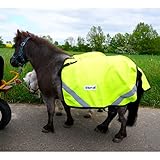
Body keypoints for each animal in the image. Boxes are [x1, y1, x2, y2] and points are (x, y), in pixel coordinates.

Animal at [10, 30, 150, 142]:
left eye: (16, 45)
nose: (12, 61)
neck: (49, 62)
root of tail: (135, 68)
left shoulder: (48, 95)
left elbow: (50, 111)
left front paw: (48, 127)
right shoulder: (63, 93)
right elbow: (66, 108)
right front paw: (69, 121)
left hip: (121, 99)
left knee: (121, 117)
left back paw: (119, 135)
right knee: (112, 113)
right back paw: (103, 127)